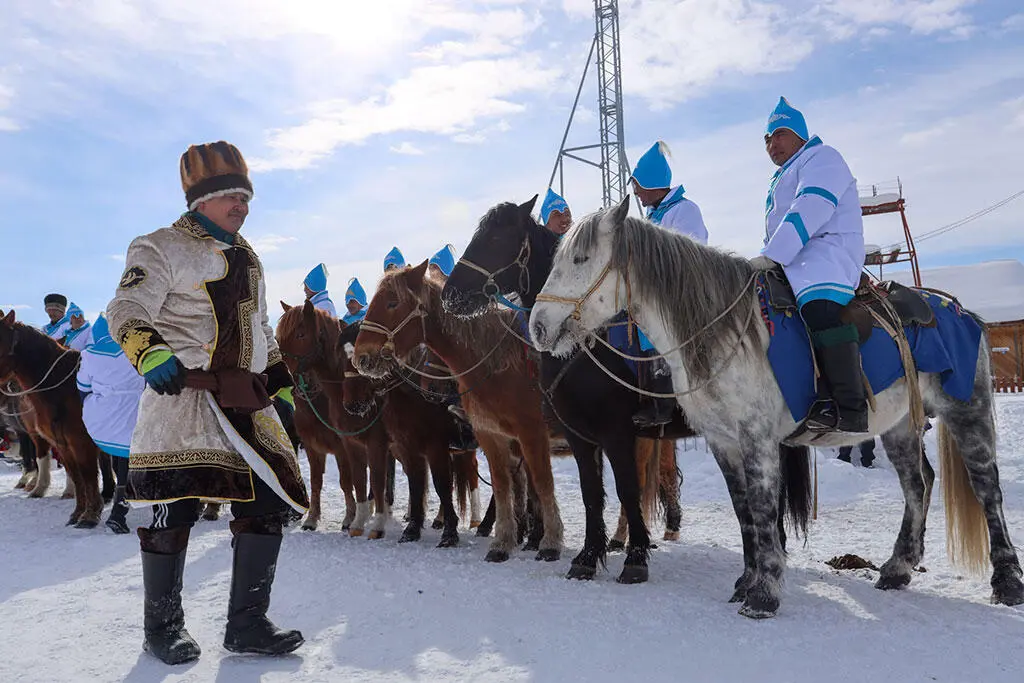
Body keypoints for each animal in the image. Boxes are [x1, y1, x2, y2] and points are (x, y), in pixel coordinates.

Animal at [0, 309, 104, 528]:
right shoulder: (62, 444)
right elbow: (77, 477)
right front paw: (78, 513)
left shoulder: (81, 442)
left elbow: (88, 476)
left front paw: (90, 516)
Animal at [442, 197, 815, 589]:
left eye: (496, 239)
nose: (450, 294)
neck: (584, 349)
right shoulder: (577, 435)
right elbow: (591, 493)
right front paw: (587, 558)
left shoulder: (614, 432)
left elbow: (626, 490)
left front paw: (634, 558)